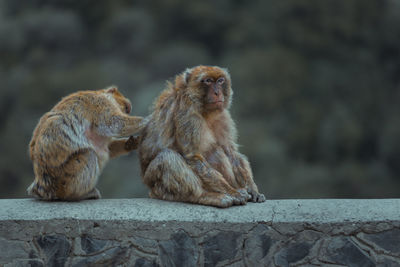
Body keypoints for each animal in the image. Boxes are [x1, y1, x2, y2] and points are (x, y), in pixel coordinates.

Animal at [139, 66, 268, 208]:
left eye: (220, 81)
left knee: (216, 151)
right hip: (154, 182)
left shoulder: (222, 116)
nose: (217, 93)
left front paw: (251, 188)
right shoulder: (187, 112)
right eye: (208, 81)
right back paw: (205, 196)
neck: (204, 110)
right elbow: (193, 156)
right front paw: (233, 192)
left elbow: (231, 152)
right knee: (167, 157)